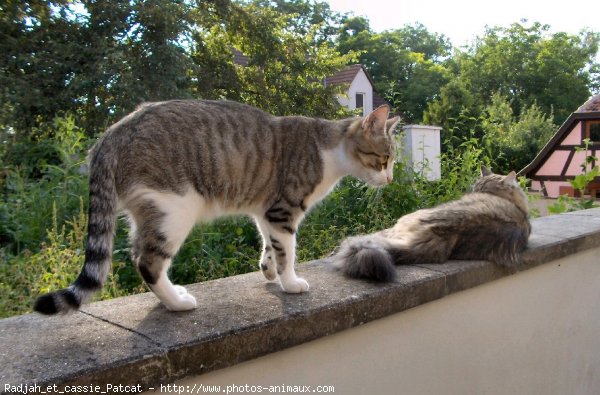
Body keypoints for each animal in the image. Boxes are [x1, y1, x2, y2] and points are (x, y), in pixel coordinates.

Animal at [32, 100, 398, 314]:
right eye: (384, 159)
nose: (391, 178)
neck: (328, 150)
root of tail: (113, 133)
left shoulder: (265, 210)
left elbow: (269, 245)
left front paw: (268, 271)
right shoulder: (284, 210)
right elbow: (288, 251)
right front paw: (290, 282)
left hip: (150, 211)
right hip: (174, 210)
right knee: (146, 262)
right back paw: (178, 303)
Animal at [330, 166, 532, 282]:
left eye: (481, 191)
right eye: (475, 188)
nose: (470, 194)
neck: (518, 207)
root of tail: (440, 231)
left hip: (404, 221)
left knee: (376, 236)